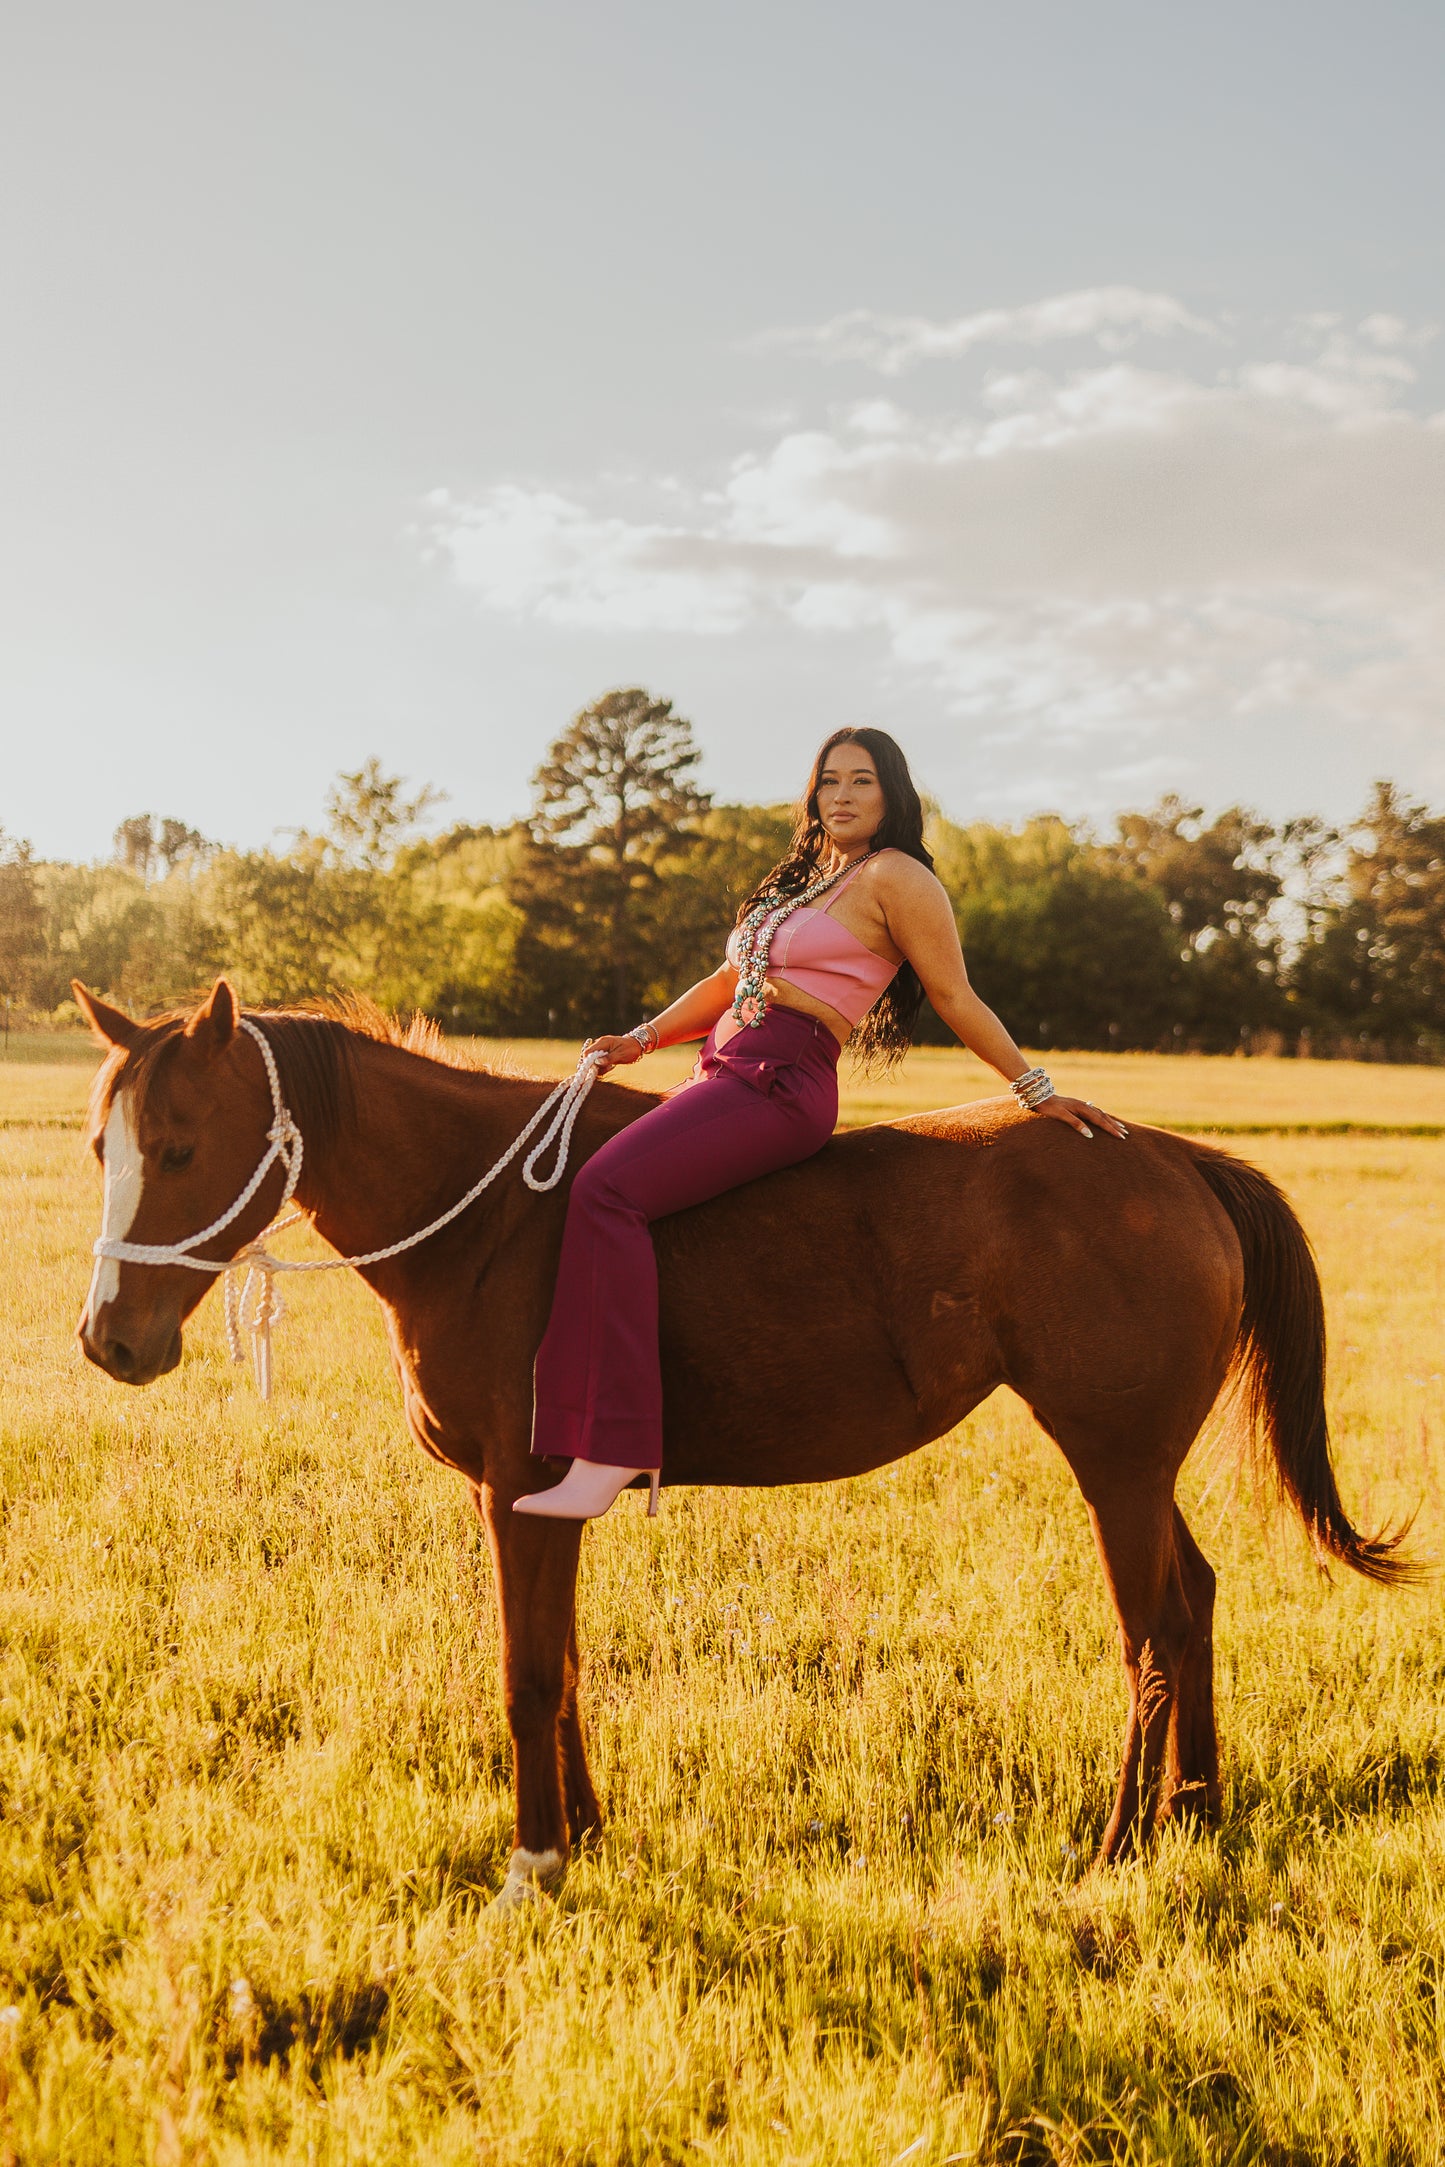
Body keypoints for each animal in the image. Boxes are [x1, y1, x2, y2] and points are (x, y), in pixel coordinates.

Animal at [73, 992, 1403, 1906]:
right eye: (104, 1150)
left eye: (179, 1146)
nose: (108, 1338)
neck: (492, 1217)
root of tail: (1169, 1154)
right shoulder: (542, 1503)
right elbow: (564, 1668)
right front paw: (584, 1836)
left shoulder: (516, 1494)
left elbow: (527, 1676)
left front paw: (533, 1861)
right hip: (1136, 1464)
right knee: (1195, 1602)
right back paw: (1197, 1814)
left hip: (1114, 1466)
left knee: (1149, 1635)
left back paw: (1120, 1842)